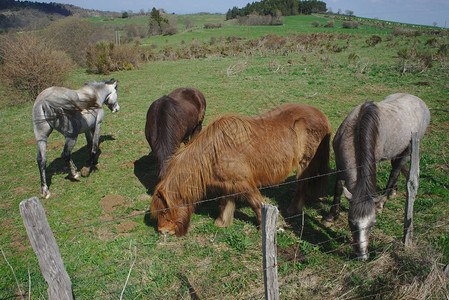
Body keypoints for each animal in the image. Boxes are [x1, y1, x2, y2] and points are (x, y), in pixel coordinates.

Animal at [150, 103, 328, 237]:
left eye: (164, 211)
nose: (162, 231)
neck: (214, 152)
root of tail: (321, 115)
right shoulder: (228, 183)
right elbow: (226, 203)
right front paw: (222, 223)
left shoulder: (244, 183)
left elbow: (257, 204)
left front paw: (263, 227)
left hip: (304, 164)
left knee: (302, 184)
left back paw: (293, 209)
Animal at [322, 94, 430, 260]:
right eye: (351, 222)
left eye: (372, 224)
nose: (362, 256)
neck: (356, 131)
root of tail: (419, 100)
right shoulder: (340, 164)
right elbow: (338, 188)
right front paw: (331, 216)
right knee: (395, 167)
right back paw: (393, 191)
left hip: (408, 149)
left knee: (395, 171)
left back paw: (383, 201)